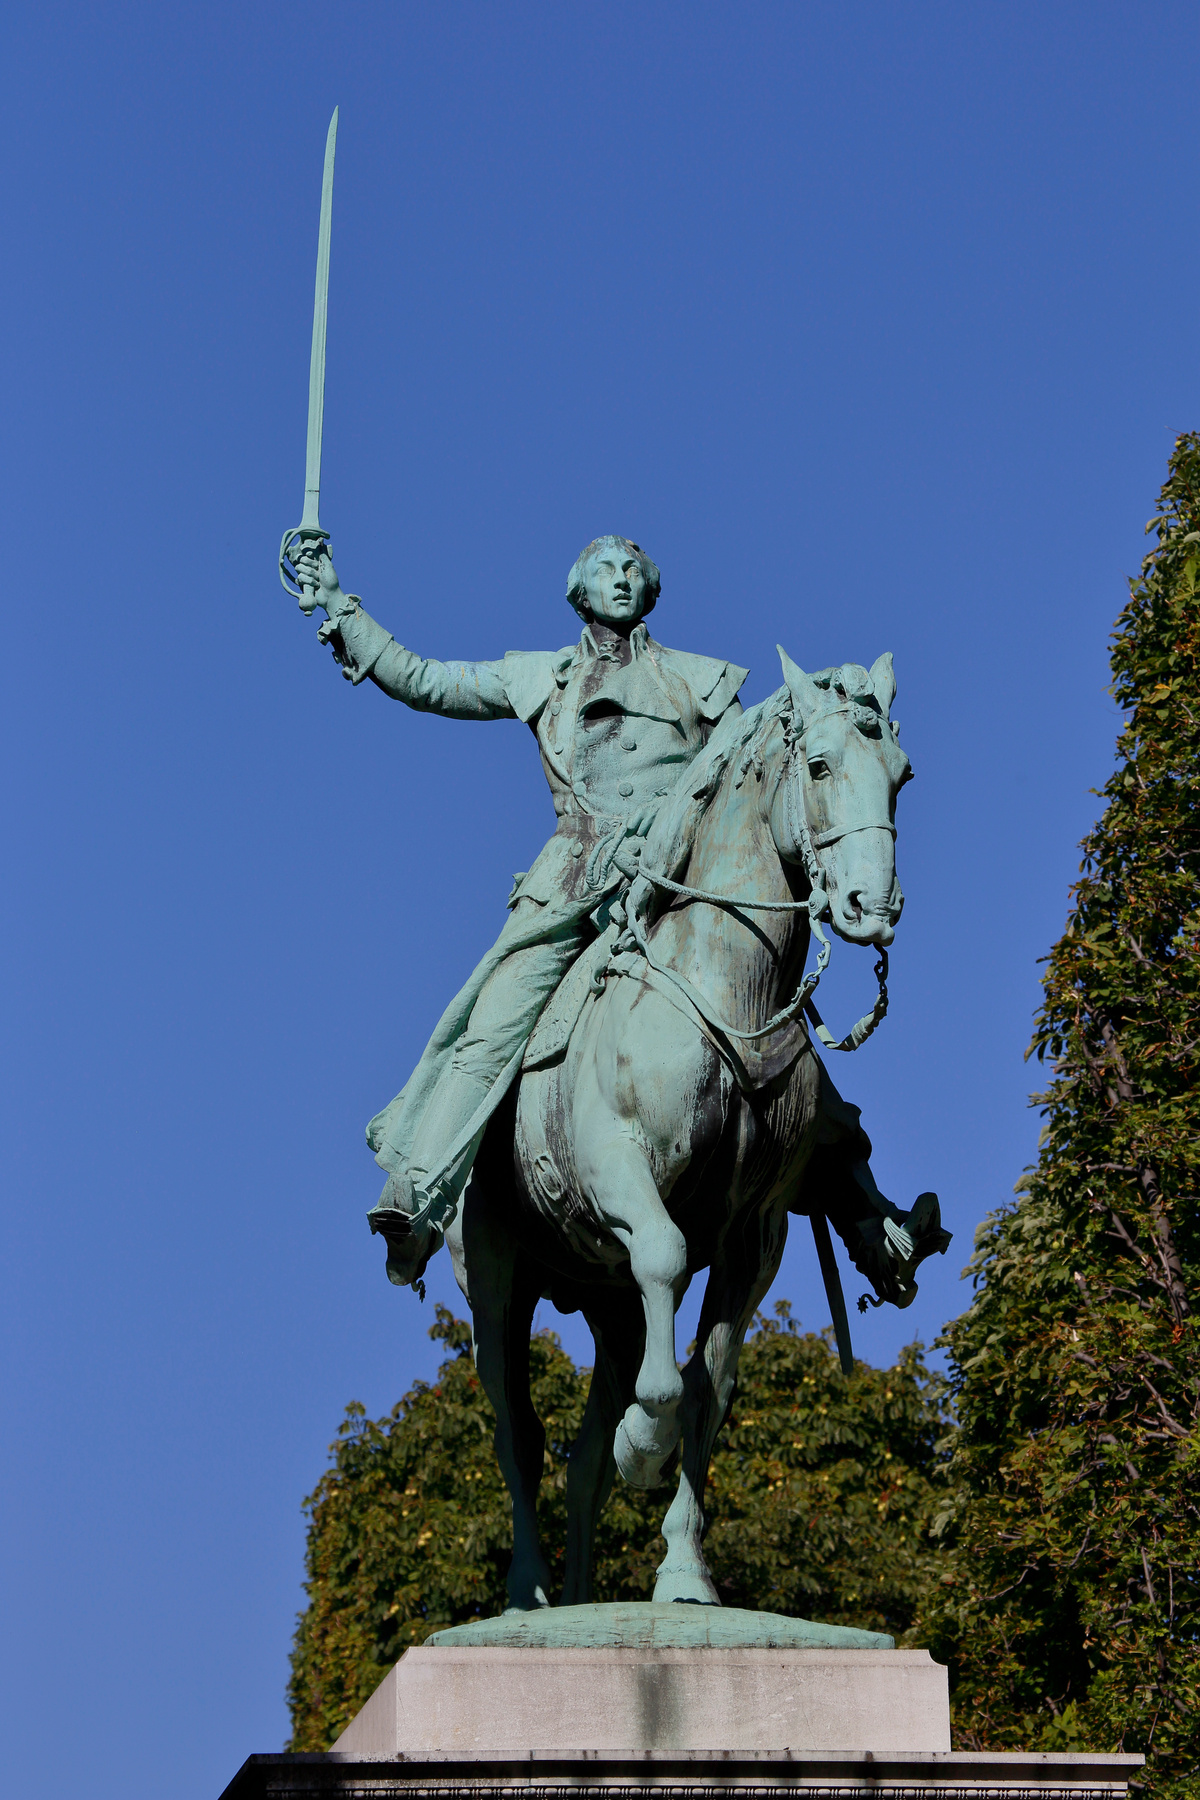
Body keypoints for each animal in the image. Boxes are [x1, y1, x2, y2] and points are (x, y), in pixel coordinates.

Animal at [440, 655, 949, 1612]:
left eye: (901, 776)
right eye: (819, 764)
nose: (873, 906)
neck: (725, 985)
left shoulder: (754, 1237)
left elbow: (708, 1388)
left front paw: (683, 1570)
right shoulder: (621, 1179)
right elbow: (668, 1270)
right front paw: (648, 1447)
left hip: (604, 1302)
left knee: (583, 1458)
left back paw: (580, 1594)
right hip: (494, 1275)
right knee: (517, 1429)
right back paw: (531, 1586)